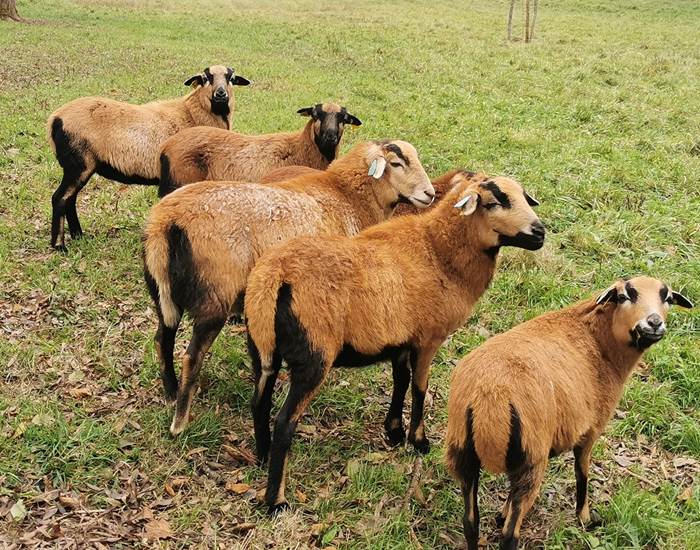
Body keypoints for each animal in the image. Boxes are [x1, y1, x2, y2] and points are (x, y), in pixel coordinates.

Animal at [47, 65, 250, 250]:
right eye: (205, 78)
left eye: (231, 78)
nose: (221, 94)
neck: (191, 113)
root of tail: (54, 118)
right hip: (78, 164)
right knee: (60, 198)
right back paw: (59, 245)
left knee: (70, 199)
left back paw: (78, 235)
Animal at [142, 139, 435, 437]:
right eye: (397, 163)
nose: (430, 194)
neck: (348, 198)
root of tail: (166, 221)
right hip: (214, 297)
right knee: (191, 357)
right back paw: (180, 423)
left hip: (163, 292)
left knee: (163, 338)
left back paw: (170, 393)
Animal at [243, 174, 545, 514]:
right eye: (494, 202)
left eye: (523, 197)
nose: (540, 233)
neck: (439, 253)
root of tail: (276, 275)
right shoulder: (429, 338)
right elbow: (419, 387)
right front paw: (419, 441)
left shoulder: (401, 339)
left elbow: (400, 381)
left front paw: (394, 431)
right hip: (314, 355)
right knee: (285, 422)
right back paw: (276, 500)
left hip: (262, 347)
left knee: (259, 402)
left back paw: (262, 455)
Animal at [445, 276, 693, 550]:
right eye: (624, 296)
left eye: (667, 298)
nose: (654, 323)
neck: (600, 343)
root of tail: (489, 395)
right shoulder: (590, 431)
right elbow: (581, 473)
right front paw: (585, 519)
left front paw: (501, 513)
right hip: (531, 456)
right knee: (510, 535)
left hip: (462, 451)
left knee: (470, 522)